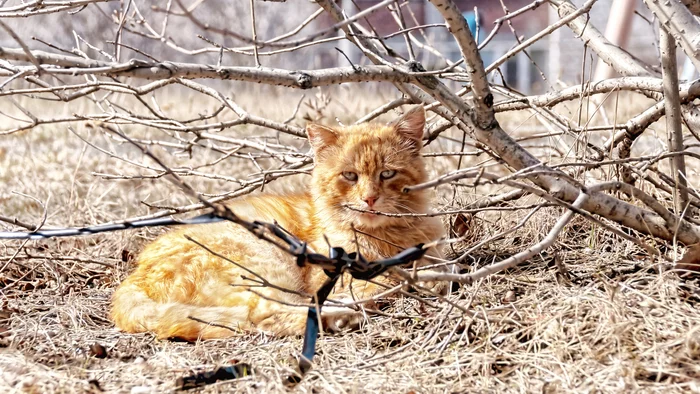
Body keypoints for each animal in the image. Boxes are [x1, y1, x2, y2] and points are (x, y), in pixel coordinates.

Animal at [112, 106, 446, 340]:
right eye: (350, 176)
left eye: (387, 174)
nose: (370, 199)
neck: (387, 236)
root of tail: (136, 277)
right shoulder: (337, 277)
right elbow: (387, 281)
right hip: (264, 264)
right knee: (265, 315)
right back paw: (339, 318)